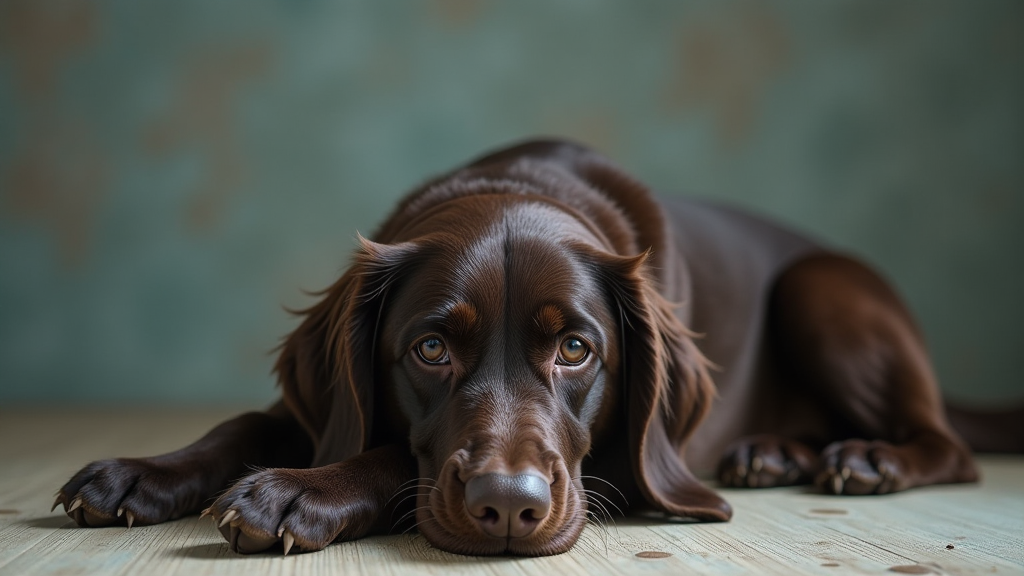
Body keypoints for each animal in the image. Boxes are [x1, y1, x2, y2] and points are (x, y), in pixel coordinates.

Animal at [51, 136, 978, 553]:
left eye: (575, 350)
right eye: (430, 350)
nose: (507, 506)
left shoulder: (618, 464)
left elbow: (390, 454)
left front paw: (296, 491)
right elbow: (244, 425)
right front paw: (141, 472)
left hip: (820, 289)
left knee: (953, 448)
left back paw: (870, 459)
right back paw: (775, 452)